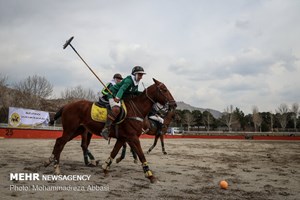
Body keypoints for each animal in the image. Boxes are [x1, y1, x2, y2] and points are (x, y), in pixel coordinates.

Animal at [44, 78, 176, 183]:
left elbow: (114, 152)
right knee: (62, 143)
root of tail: (66, 105)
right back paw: (57, 168)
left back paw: (50, 161)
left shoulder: (123, 138)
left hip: (77, 130)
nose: (174, 104)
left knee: (59, 141)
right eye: (164, 89)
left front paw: (105, 168)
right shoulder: (133, 137)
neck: (136, 109)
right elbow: (141, 154)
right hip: (71, 129)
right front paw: (150, 175)